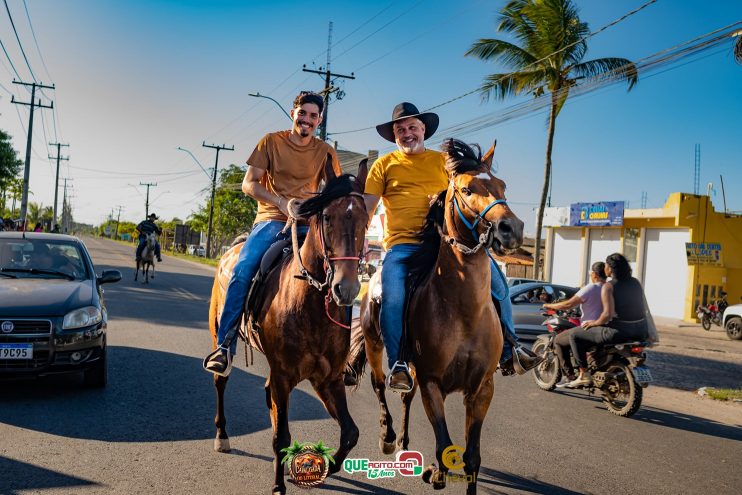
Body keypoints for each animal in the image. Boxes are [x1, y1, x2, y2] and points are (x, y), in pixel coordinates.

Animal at [208, 158, 370, 495]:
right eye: (327, 217)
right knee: (221, 380)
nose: (347, 288)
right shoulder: (284, 376)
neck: (311, 306)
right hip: (219, 334)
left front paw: (320, 469)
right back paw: (222, 436)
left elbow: (350, 432)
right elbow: (281, 436)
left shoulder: (328, 380)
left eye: (366, 218)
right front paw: (279, 485)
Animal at [348, 139, 524, 495]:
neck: (463, 311)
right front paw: (435, 472)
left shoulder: (482, 389)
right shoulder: (433, 383)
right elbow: (444, 445)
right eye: (467, 189)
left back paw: (404, 442)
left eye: (502, 186)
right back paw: (389, 438)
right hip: (376, 345)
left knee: (406, 396)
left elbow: (472, 458)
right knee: (379, 385)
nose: (511, 229)